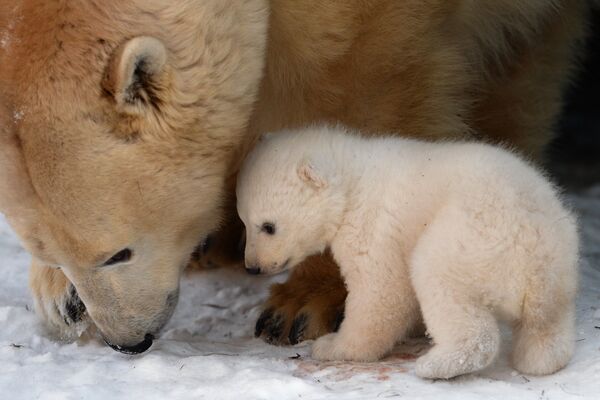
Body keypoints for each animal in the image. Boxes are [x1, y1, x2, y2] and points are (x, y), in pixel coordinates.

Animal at [0, 0, 592, 352]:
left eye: (118, 252)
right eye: (52, 251)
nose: (129, 342)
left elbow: (361, 84)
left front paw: (307, 302)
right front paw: (61, 298)